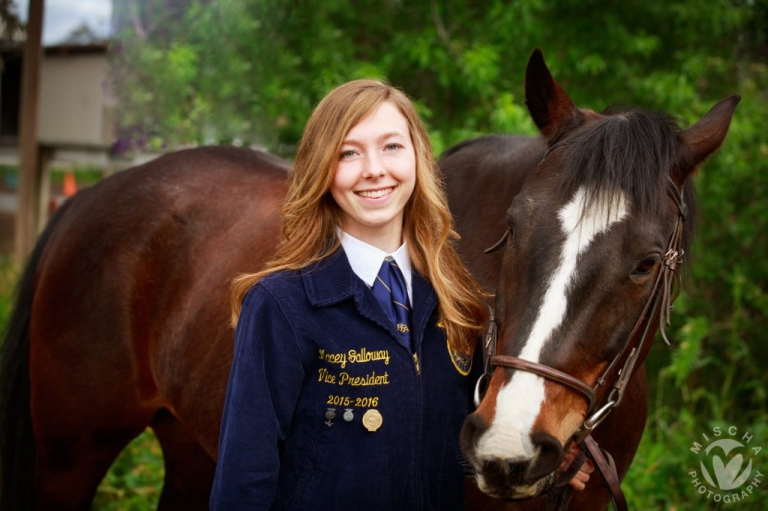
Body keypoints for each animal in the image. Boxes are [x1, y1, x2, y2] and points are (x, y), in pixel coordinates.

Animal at [0, 49, 736, 511]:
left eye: (646, 262)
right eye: (513, 228)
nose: (509, 445)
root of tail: (91, 199)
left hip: (193, 447)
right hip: (68, 456)